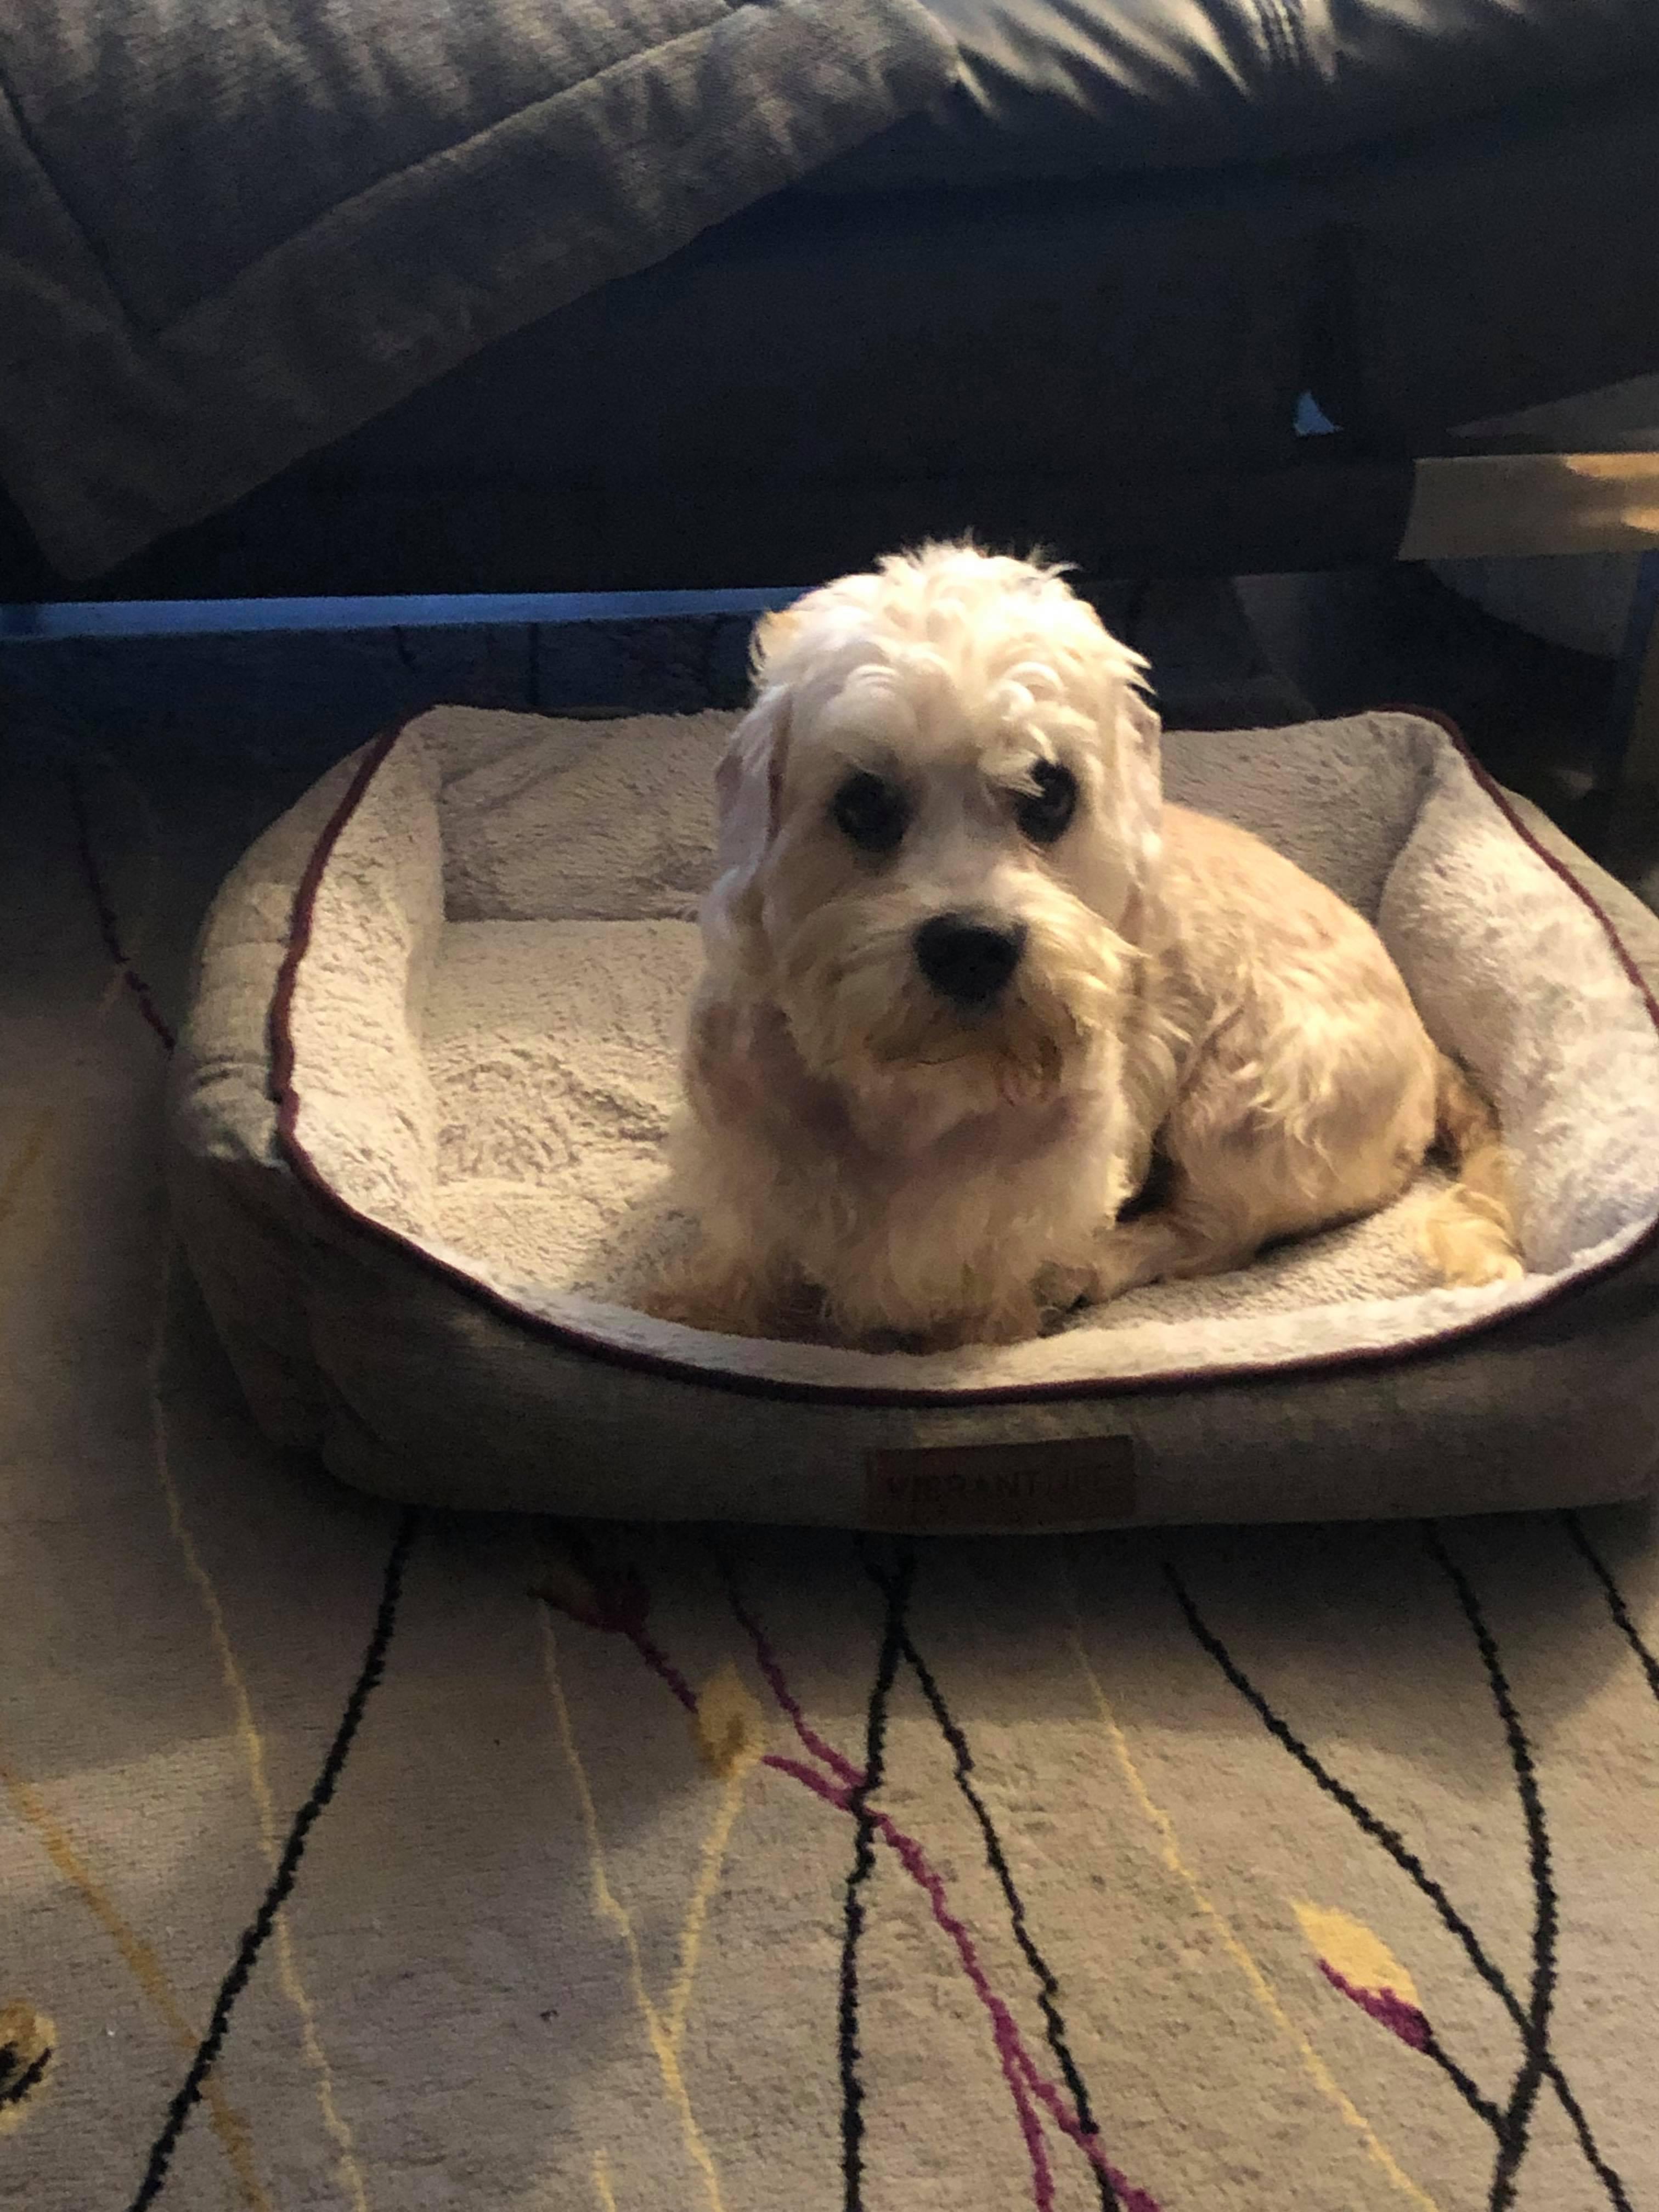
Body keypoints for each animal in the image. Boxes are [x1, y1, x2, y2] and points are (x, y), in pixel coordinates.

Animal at [647, 543, 1522, 1349]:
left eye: (1051, 792)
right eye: (862, 802)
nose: (974, 947)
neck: (917, 1092)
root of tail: (1430, 1052)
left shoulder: (1015, 1213)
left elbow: (990, 1296)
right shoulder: (750, 1166)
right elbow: (749, 1258)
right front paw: (698, 1311)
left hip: (1248, 1109)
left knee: (1213, 1236)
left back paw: (1093, 1269)